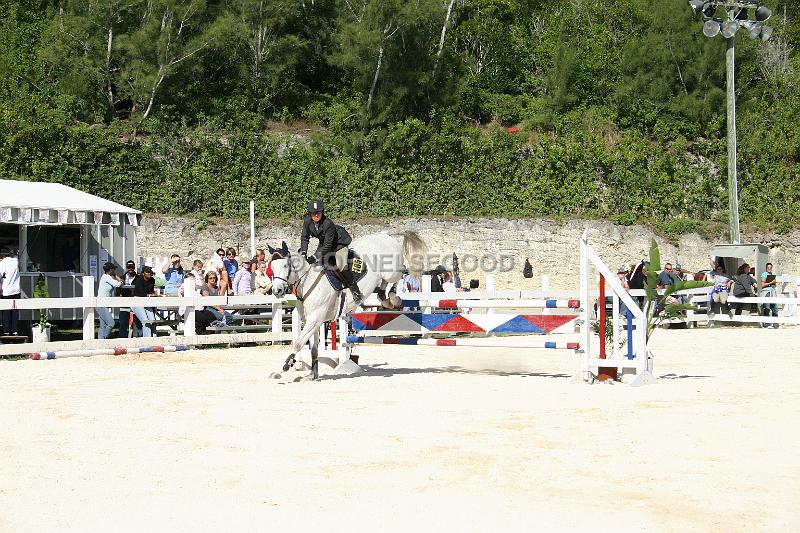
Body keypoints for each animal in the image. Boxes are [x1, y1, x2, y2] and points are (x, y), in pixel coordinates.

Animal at [270, 232, 424, 378]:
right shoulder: (313, 321)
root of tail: (385, 235)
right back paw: (384, 297)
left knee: (402, 271)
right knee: (385, 285)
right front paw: (313, 374)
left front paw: (284, 367)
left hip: (391, 271)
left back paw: (393, 297)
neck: (307, 281)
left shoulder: (315, 319)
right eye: (271, 268)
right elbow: (313, 348)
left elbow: (298, 343)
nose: (277, 291)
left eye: (285, 265)